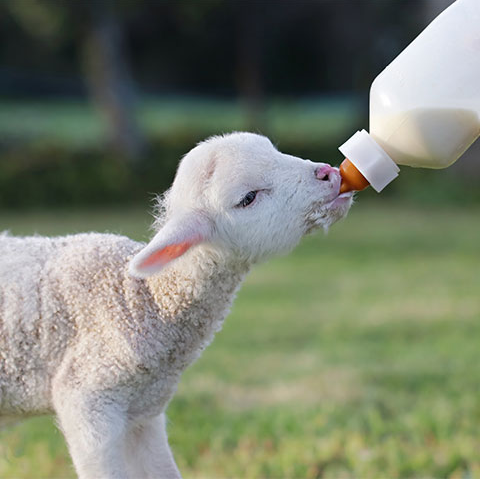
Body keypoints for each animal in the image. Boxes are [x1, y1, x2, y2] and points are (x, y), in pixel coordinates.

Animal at [0, 130, 352, 476]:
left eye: (275, 151)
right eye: (248, 198)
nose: (329, 173)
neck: (142, 298)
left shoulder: (145, 409)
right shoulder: (88, 402)